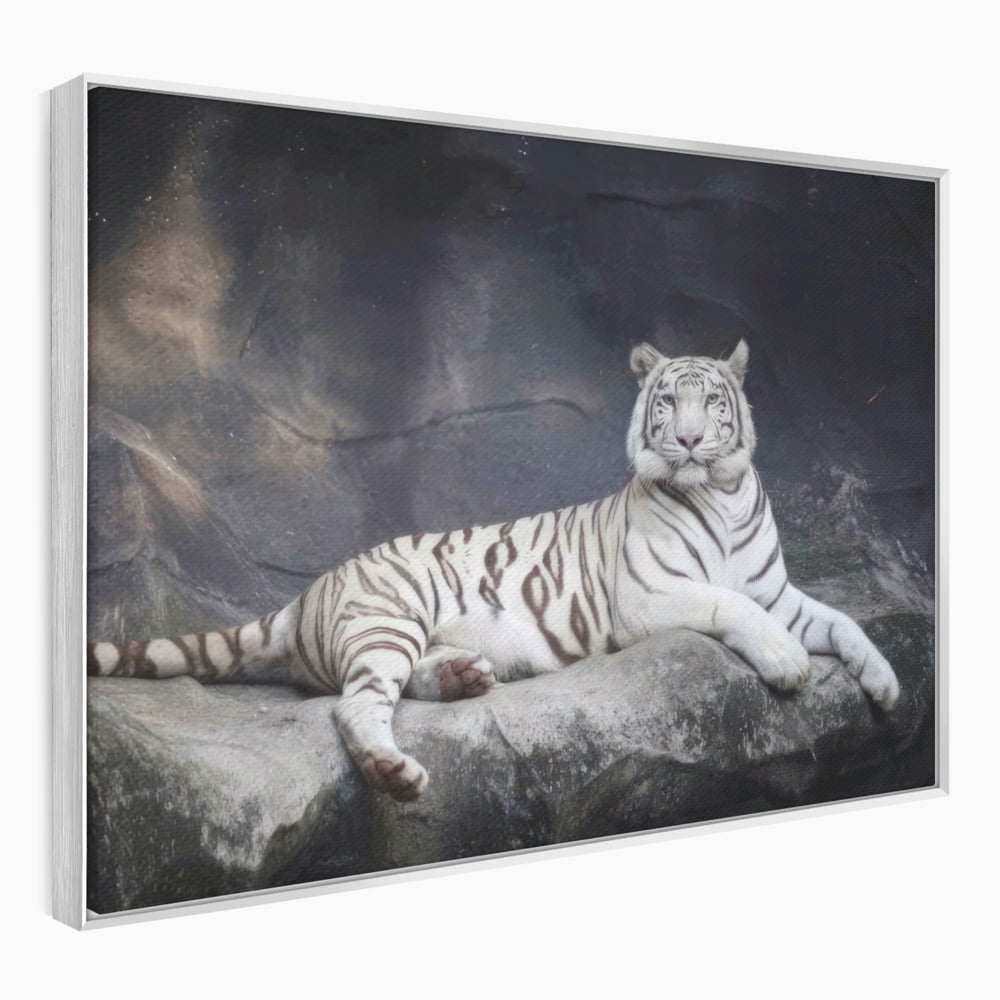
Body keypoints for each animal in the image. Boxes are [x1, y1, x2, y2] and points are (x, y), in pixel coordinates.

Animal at [88, 339, 901, 802]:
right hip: (388, 618)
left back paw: (463, 677)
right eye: (670, 402)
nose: (694, 441)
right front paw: (788, 663)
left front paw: (887, 684)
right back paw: (395, 771)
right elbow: (732, 609)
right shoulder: (652, 596)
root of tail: (309, 590)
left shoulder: (777, 590)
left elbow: (841, 622)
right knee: (354, 706)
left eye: (713, 404)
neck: (722, 492)